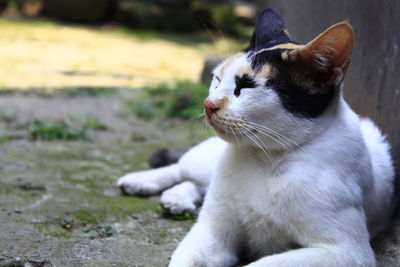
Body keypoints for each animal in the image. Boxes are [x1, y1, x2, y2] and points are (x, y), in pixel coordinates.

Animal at [117, 8, 396, 267]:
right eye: (217, 78)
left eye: (247, 86)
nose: (208, 104)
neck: (266, 159)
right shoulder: (213, 230)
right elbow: (186, 257)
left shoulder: (345, 252)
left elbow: (264, 263)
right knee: (184, 169)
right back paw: (144, 182)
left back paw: (176, 197)